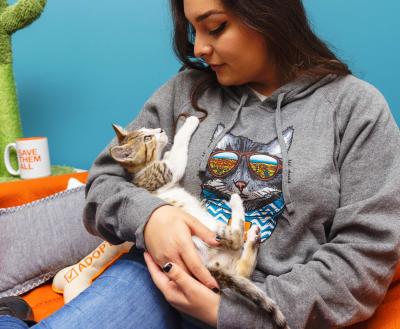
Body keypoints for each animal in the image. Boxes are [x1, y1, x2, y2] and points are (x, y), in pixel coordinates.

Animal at [110, 116, 290, 326]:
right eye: (147, 137)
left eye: (149, 129)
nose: (161, 130)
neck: (145, 168)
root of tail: (211, 269)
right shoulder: (165, 172)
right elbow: (179, 149)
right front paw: (190, 121)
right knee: (235, 240)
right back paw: (236, 204)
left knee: (242, 270)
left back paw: (253, 236)